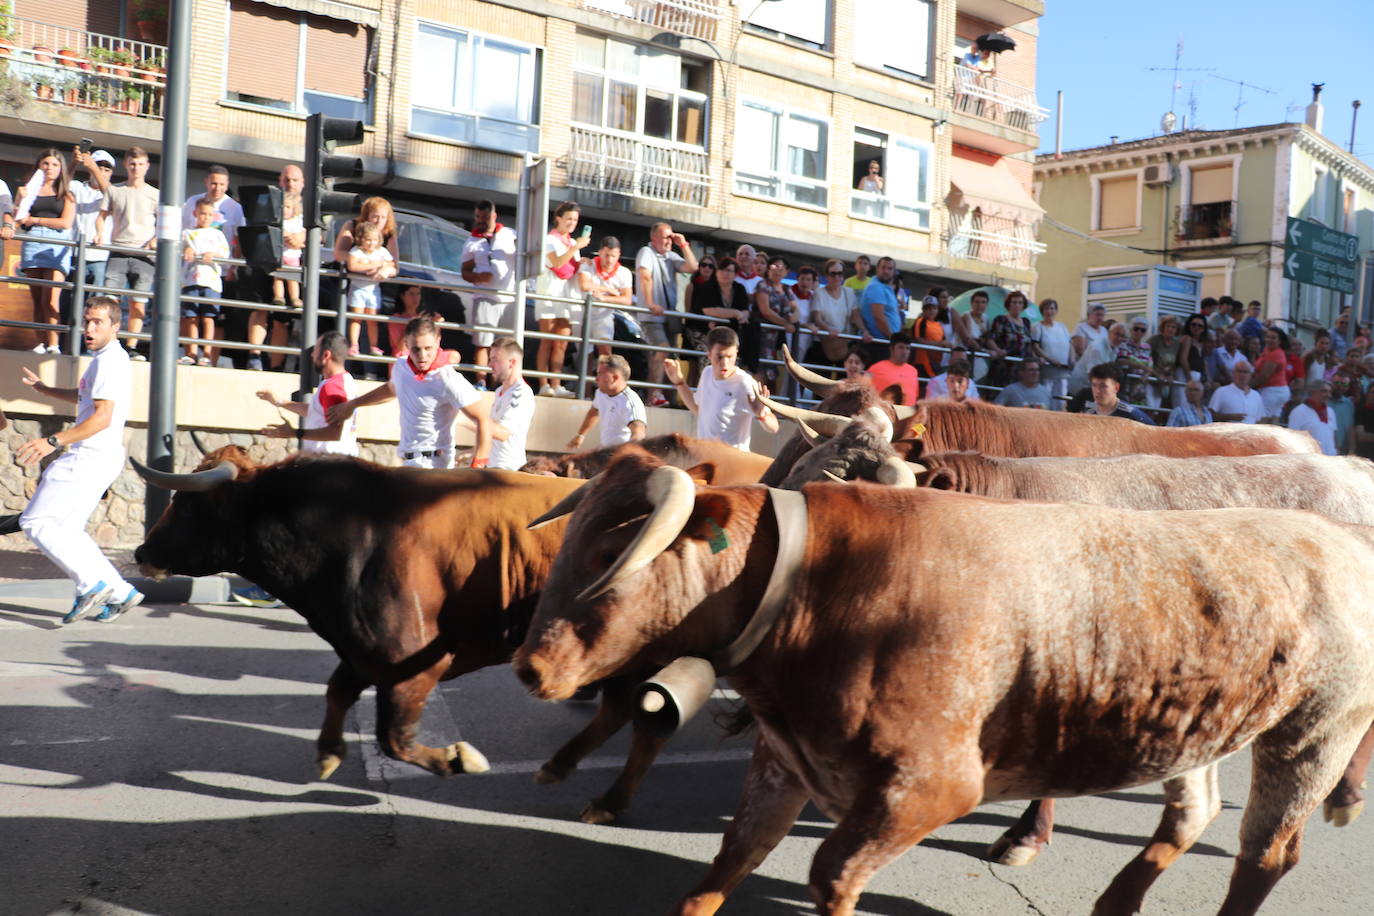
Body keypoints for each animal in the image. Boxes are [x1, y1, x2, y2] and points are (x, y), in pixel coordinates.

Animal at [513, 455, 1374, 916]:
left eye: (608, 557)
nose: (529, 667)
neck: (822, 586)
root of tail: (1342, 534)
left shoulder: (929, 786)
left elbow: (831, 876)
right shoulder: (786, 762)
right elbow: (727, 864)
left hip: (1311, 735)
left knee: (1267, 853)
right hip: (1196, 726)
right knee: (1194, 812)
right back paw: (1114, 904)